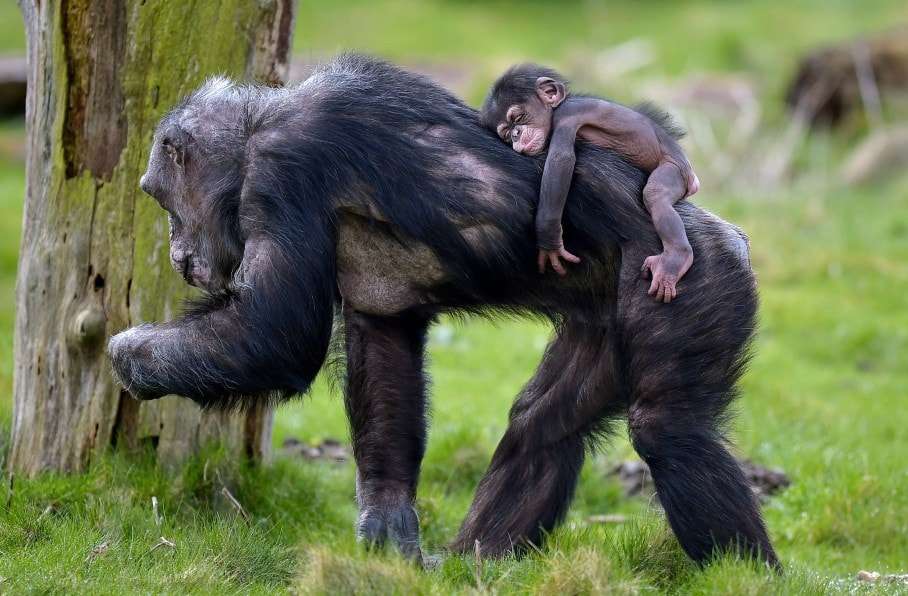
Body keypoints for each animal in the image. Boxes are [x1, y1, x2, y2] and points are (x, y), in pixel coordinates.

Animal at [478, 65, 700, 302]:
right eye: (506, 134)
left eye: (518, 117)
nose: (516, 134)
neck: (555, 109)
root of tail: (692, 177)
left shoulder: (567, 117)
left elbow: (561, 159)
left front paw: (548, 240)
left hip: (675, 170)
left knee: (655, 193)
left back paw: (675, 259)